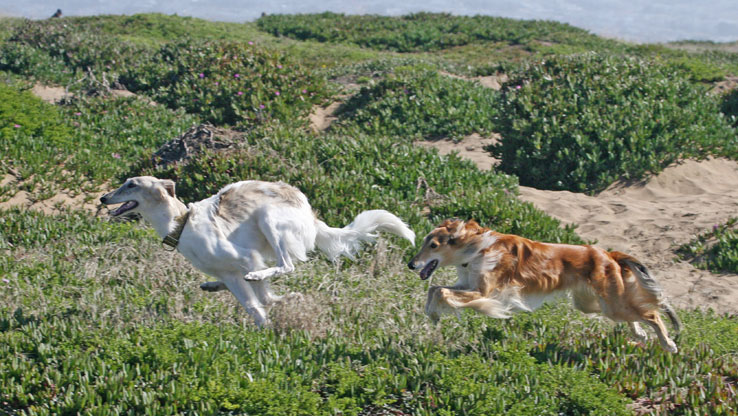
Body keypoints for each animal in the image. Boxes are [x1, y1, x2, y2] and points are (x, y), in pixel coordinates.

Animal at [100, 177, 414, 326]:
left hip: (268, 217)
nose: (103, 198)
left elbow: (261, 296)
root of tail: (310, 213)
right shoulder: (229, 272)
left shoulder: (245, 257)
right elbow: (258, 304)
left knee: (285, 266)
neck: (182, 224)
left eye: (131, 184)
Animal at [408, 219, 680, 352]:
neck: (476, 250)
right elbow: (435, 289)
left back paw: (668, 344)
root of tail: (608, 254)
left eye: (433, 245)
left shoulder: (483, 291)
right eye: (424, 242)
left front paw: (436, 313)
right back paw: (639, 333)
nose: (411, 264)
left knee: (653, 314)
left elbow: (442, 292)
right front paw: (432, 315)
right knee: (639, 314)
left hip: (611, 303)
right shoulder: (465, 284)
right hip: (593, 303)